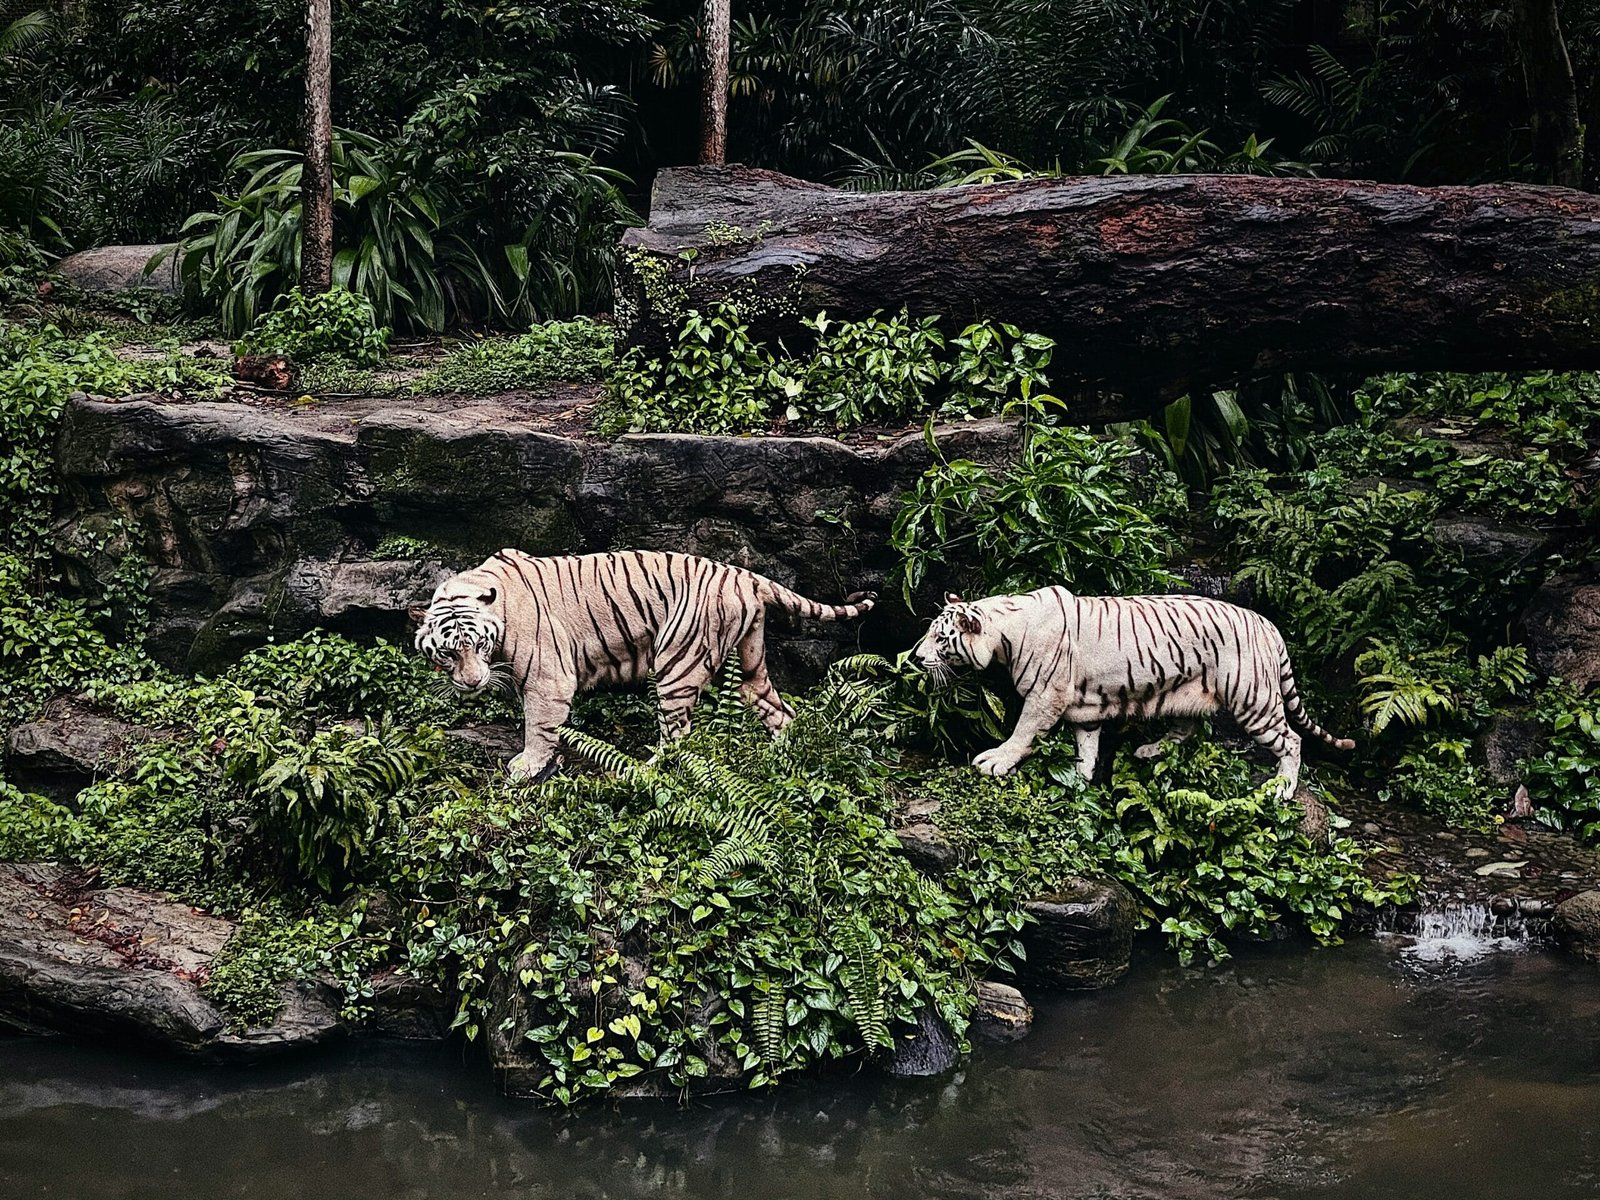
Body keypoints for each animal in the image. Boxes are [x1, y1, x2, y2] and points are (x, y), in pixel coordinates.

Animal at [410, 549, 877, 781]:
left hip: (676, 664)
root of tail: (745, 575)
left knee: (679, 737)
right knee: (778, 710)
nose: (472, 684)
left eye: (478, 644)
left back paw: (640, 771)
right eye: (448, 652)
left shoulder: (548, 679)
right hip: (749, 663)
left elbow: (539, 726)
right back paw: (783, 757)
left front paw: (528, 766)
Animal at [911, 587, 1354, 794]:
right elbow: (1086, 744)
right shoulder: (1083, 706)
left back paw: (1282, 788)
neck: (1004, 631)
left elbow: (1022, 732)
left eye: (941, 638)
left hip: (1253, 699)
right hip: (1187, 692)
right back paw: (1149, 750)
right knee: (1186, 729)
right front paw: (1081, 778)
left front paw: (995, 761)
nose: (914, 657)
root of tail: (1268, 624)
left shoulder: (1044, 697)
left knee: (1292, 740)